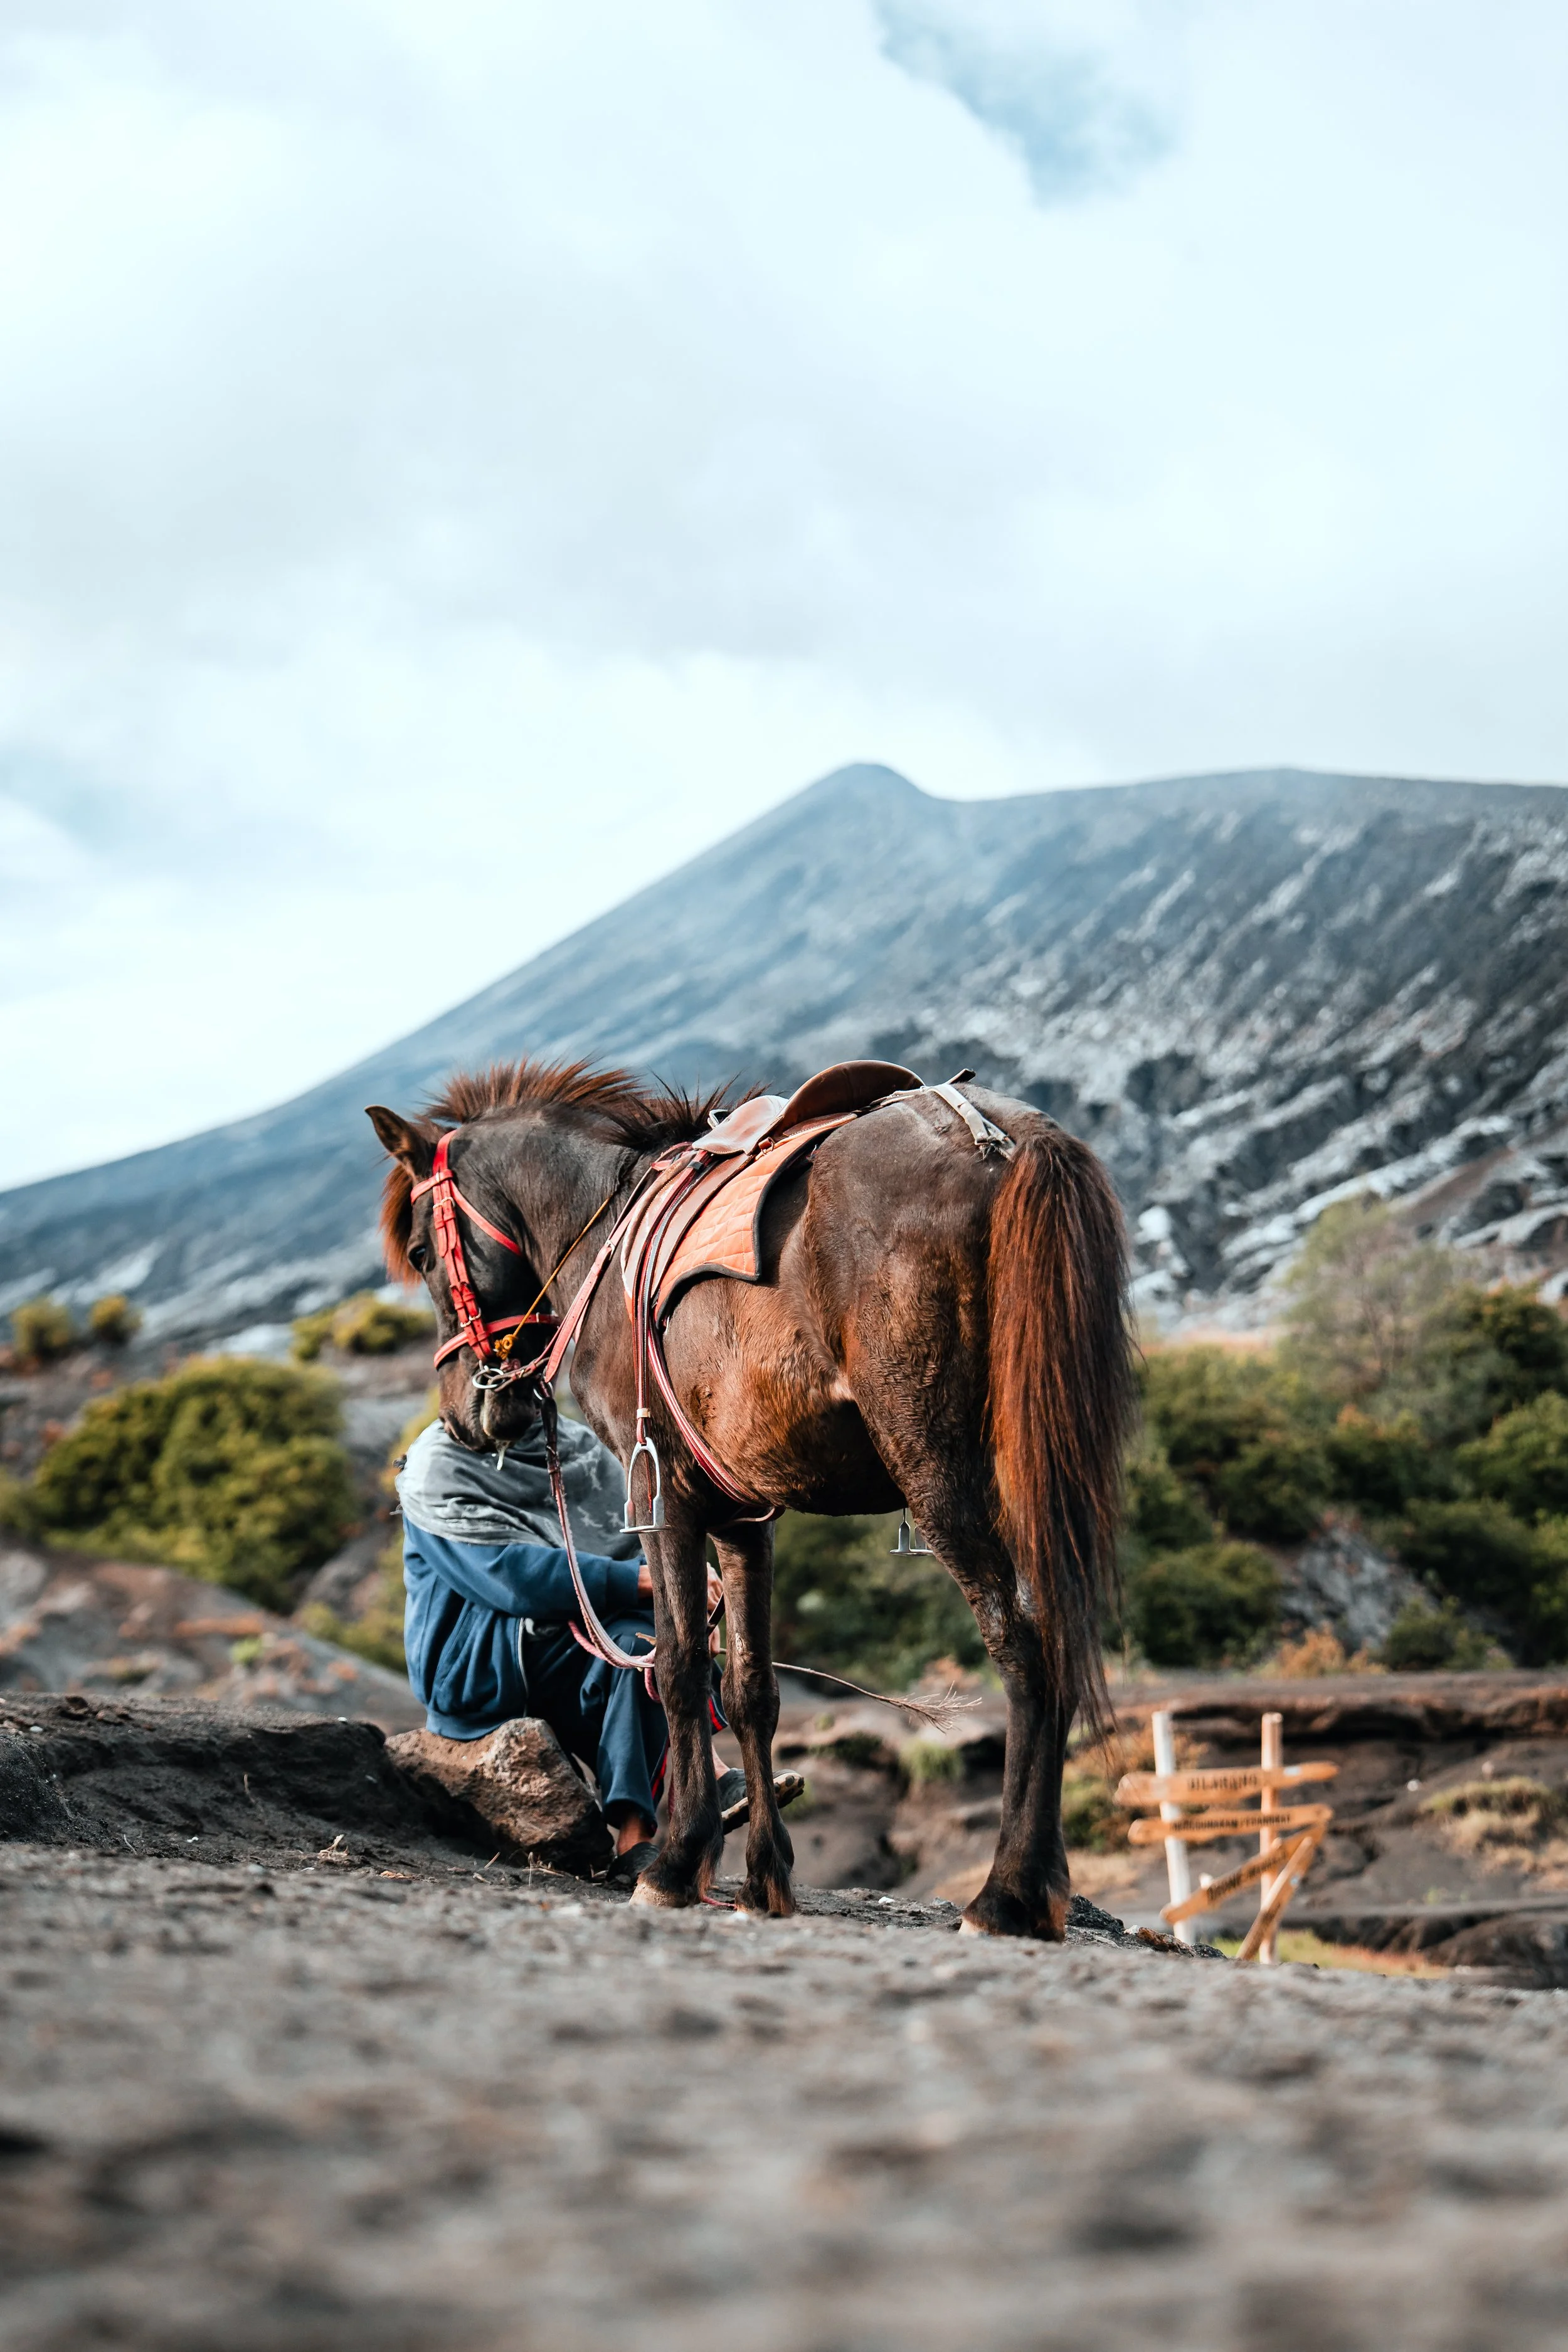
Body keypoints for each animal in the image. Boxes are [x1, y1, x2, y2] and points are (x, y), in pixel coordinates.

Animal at [367, 1056, 1132, 1938]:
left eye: (421, 1252)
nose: (468, 1412)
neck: (603, 1234)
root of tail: (1005, 1138)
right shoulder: (743, 1516)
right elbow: (750, 1692)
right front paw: (766, 1876)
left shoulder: (658, 1489)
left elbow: (678, 1668)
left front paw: (674, 1862)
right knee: (1061, 1627)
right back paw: (1039, 1885)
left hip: (940, 1470)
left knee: (1024, 1642)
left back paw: (1008, 1891)